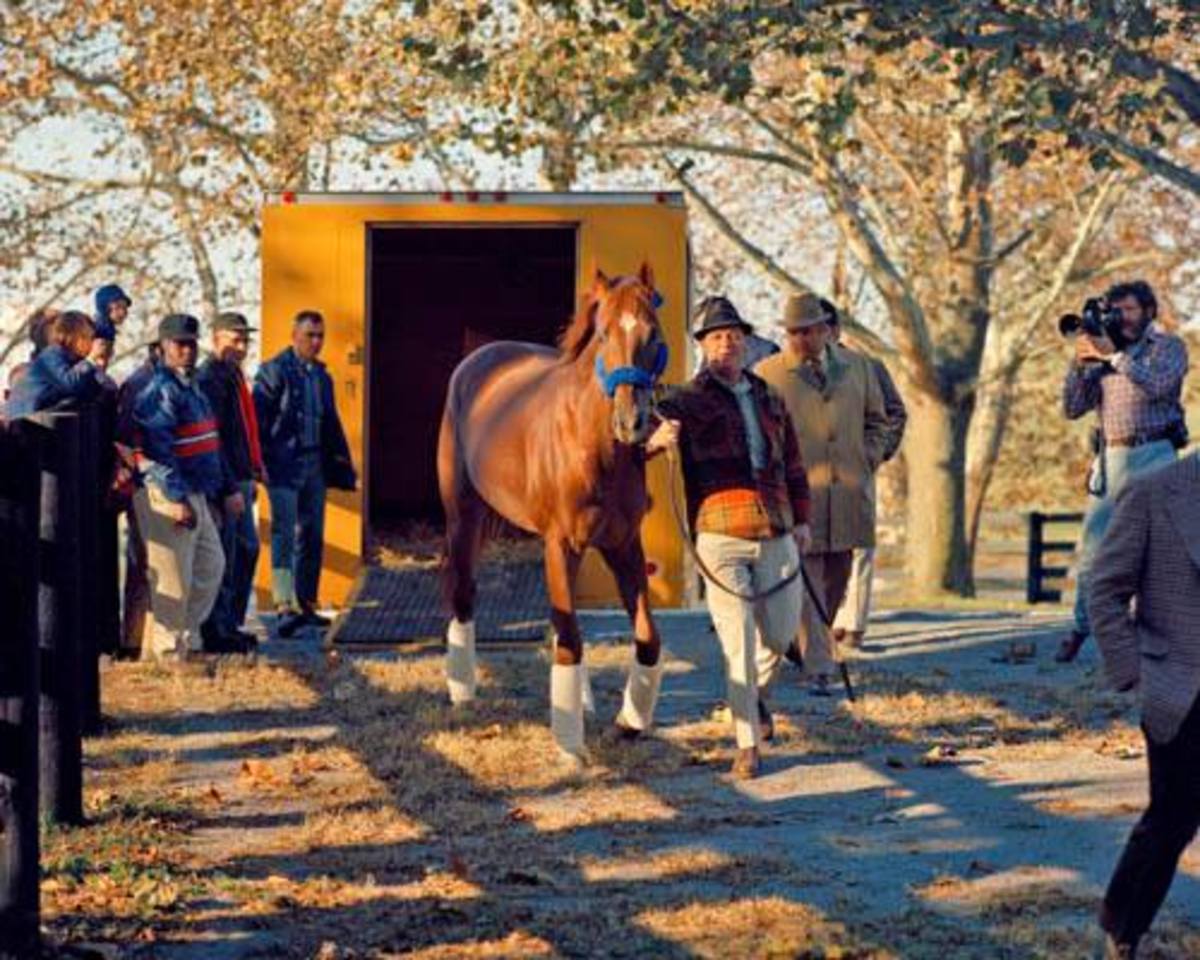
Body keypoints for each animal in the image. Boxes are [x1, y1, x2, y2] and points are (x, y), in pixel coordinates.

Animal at [439, 266, 667, 763]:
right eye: (603, 334)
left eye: (652, 332)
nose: (631, 422)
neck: (594, 446)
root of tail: (480, 357)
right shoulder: (561, 544)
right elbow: (571, 641)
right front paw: (570, 747)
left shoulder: (623, 545)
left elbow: (646, 637)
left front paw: (629, 722)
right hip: (463, 515)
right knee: (464, 593)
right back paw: (462, 692)